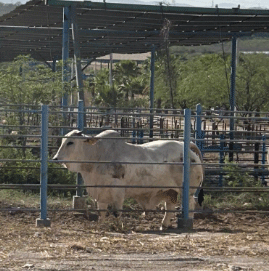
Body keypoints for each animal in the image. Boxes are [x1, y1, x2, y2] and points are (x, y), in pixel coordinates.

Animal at [52, 131, 203, 231]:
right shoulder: (101, 192)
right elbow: (101, 212)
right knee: (170, 206)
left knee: (190, 204)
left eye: (70, 142)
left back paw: (187, 222)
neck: (97, 156)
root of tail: (186, 147)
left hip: (187, 191)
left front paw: (119, 226)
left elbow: (117, 212)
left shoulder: (118, 192)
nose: (55, 158)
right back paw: (164, 224)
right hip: (170, 191)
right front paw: (101, 225)